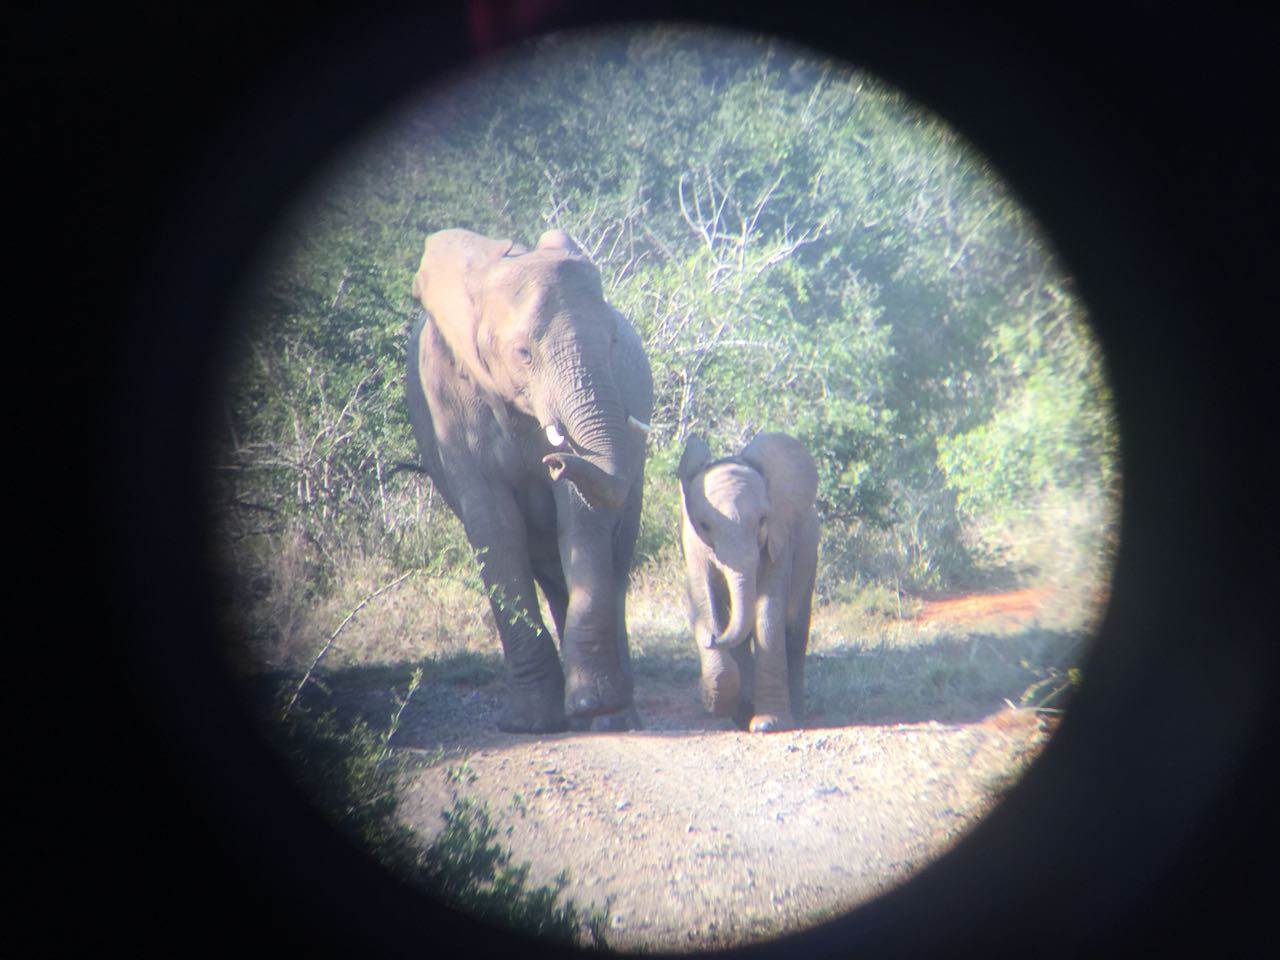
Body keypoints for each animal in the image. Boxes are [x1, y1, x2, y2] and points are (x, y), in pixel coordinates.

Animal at [405, 227, 653, 733]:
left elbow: (581, 515)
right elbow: (494, 526)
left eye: (613, 340)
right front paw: (530, 724)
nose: (556, 460)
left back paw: (616, 718)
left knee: (613, 559)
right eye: (523, 354)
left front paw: (592, 706)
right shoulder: (447, 401)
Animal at [677, 432, 820, 733]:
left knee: (795, 630)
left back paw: (796, 712)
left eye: (762, 521)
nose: (714, 637)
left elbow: (768, 612)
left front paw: (768, 724)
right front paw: (723, 705)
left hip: (810, 557)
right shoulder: (691, 541)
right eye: (704, 525)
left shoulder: (781, 538)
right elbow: (703, 597)